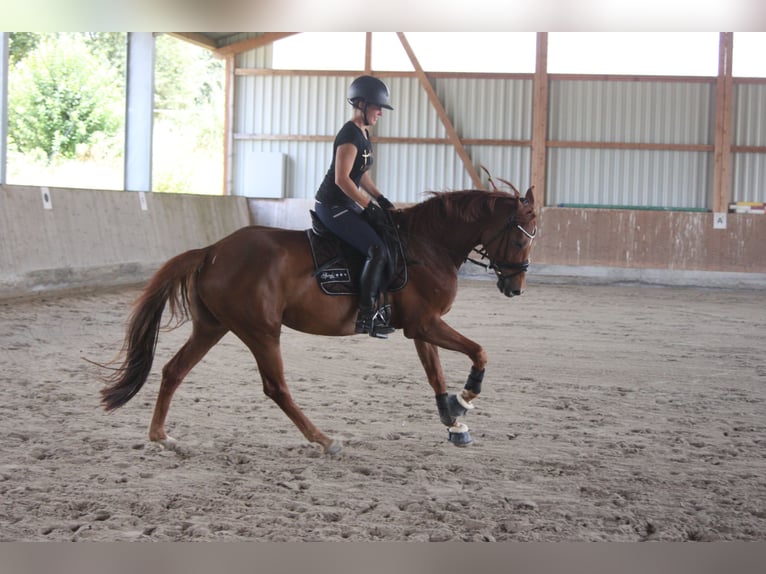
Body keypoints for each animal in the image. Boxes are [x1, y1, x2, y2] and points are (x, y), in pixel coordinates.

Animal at [99, 188, 536, 454]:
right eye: (519, 239)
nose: (516, 288)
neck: (429, 247)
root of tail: (213, 250)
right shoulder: (424, 324)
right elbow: (479, 352)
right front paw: (465, 399)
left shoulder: (421, 326)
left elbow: (436, 373)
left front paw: (453, 421)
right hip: (261, 331)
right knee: (276, 387)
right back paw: (324, 439)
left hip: (212, 327)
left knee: (174, 370)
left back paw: (160, 436)